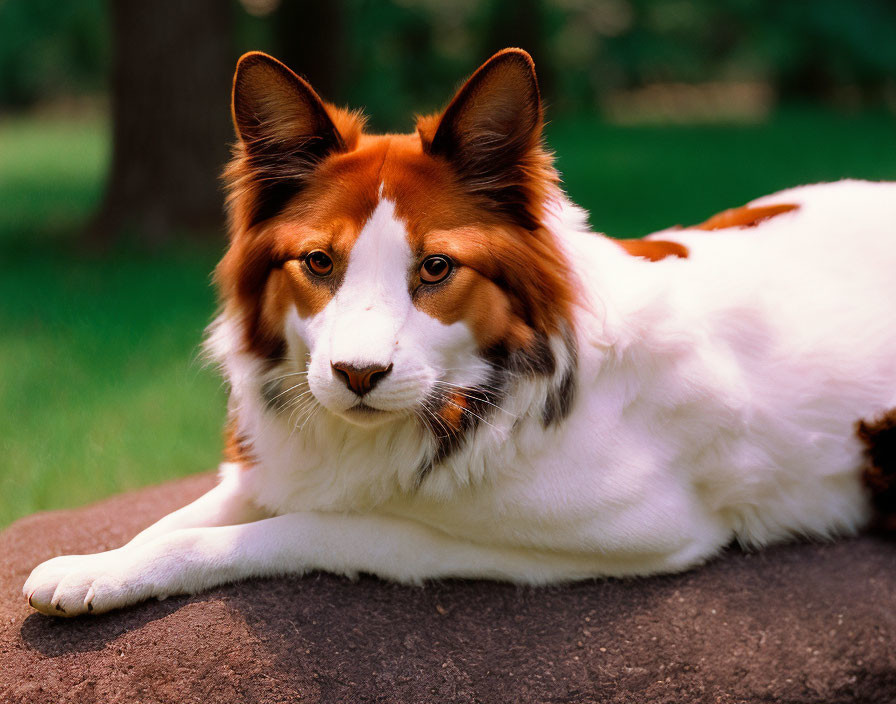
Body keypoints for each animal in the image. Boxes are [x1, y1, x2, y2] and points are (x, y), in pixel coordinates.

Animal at [24, 48, 896, 616]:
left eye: (437, 267)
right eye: (318, 261)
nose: (357, 376)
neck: (483, 380)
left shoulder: (610, 535)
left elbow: (316, 526)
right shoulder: (278, 465)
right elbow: (180, 517)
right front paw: (99, 567)